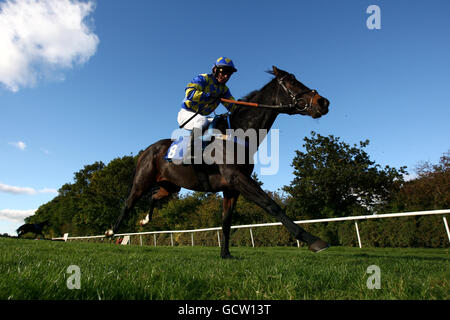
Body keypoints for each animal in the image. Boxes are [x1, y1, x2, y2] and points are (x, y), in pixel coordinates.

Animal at [105, 66, 330, 258]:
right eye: (292, 82)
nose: (323, 102)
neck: (239, 133)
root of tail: (147, 150)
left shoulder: (231, 188)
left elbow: (226, 221)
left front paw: (226, 254)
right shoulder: (236, 177)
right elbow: (271, 205)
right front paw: (313, 240)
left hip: (170, 186)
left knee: (154, 196)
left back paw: (145, 220)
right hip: (142, 181)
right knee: (128, 203)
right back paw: (110, 232)